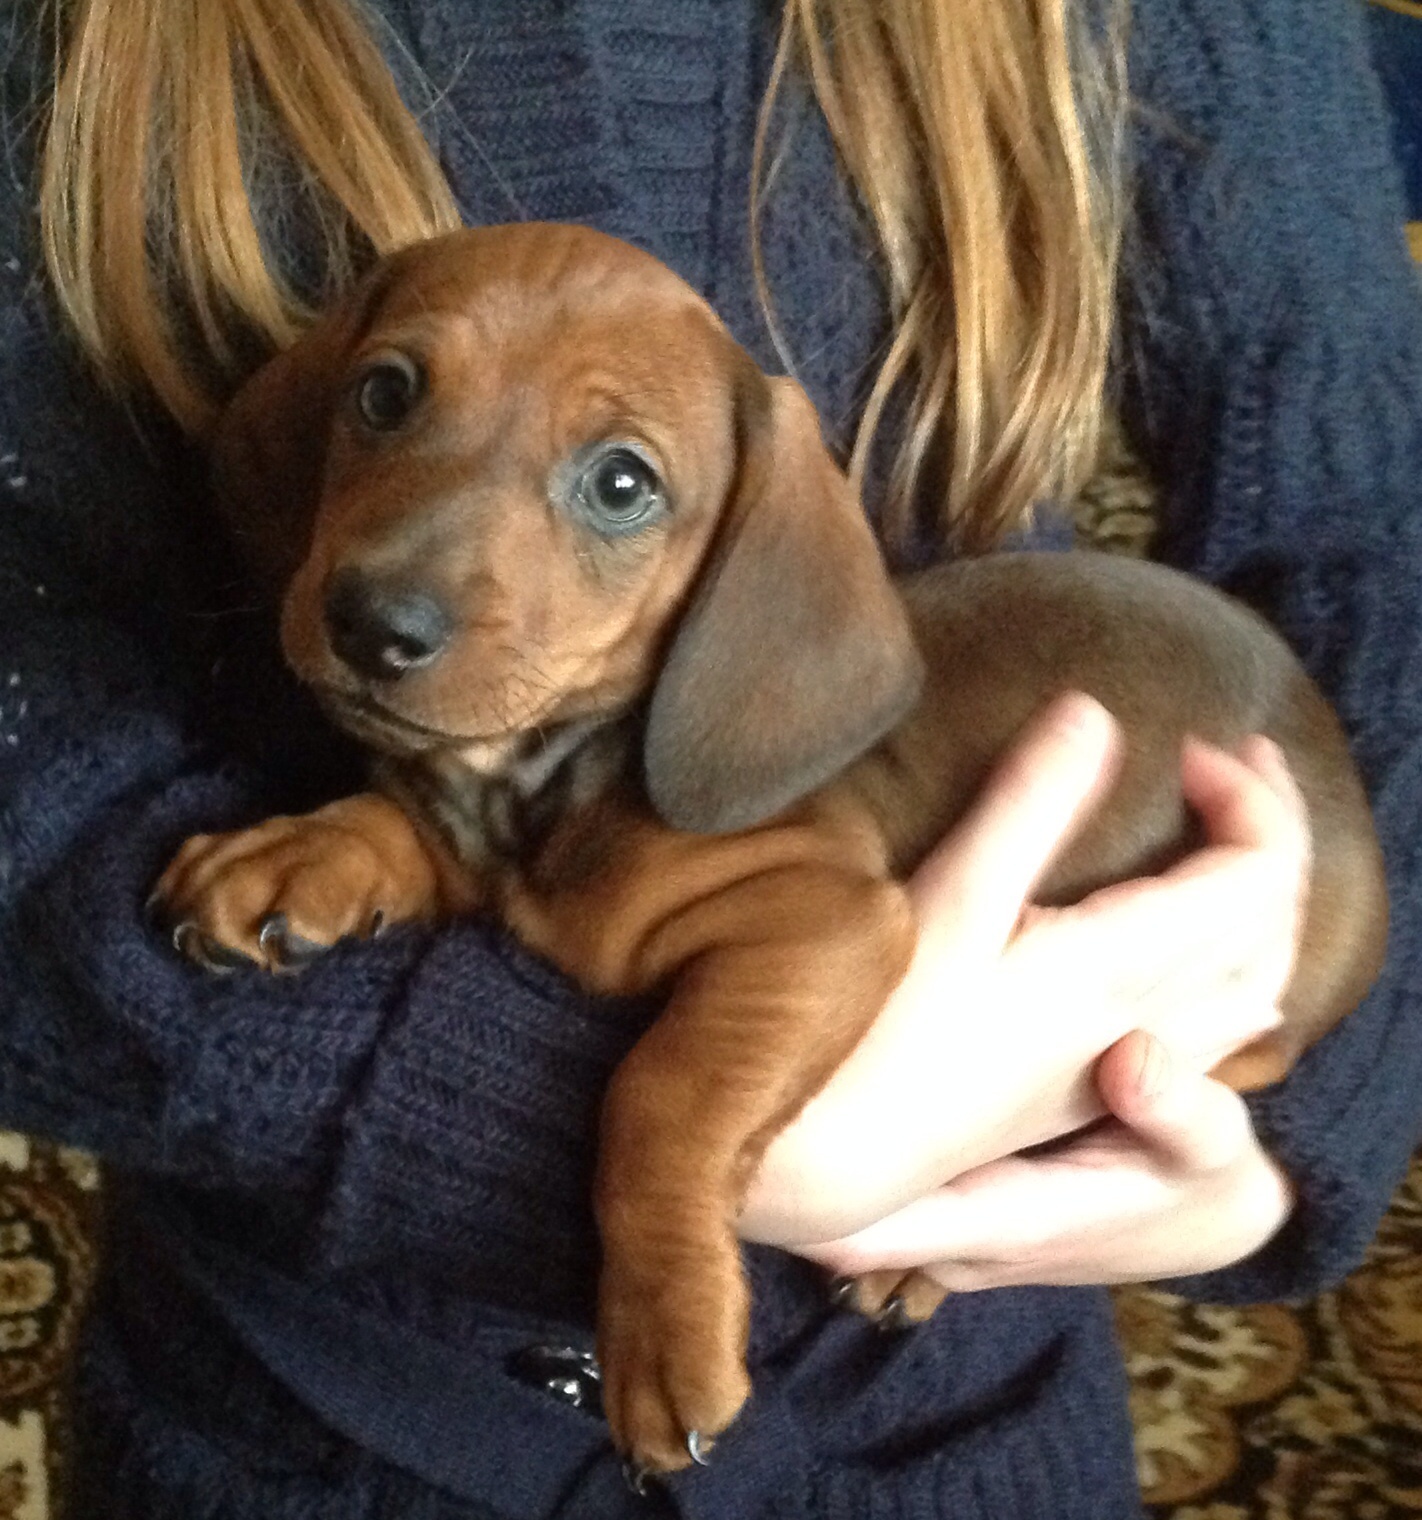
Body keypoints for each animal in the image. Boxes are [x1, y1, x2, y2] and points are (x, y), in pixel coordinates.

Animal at [155, 220, 1391, 1477]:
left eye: (622, 483)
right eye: (386, 393)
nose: (374, 624)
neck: (544, 788)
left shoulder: (822, 912)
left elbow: (661, 1091)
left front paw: (668, 1327)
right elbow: (396, 820)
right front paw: (295, 851)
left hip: (1236, 1041)